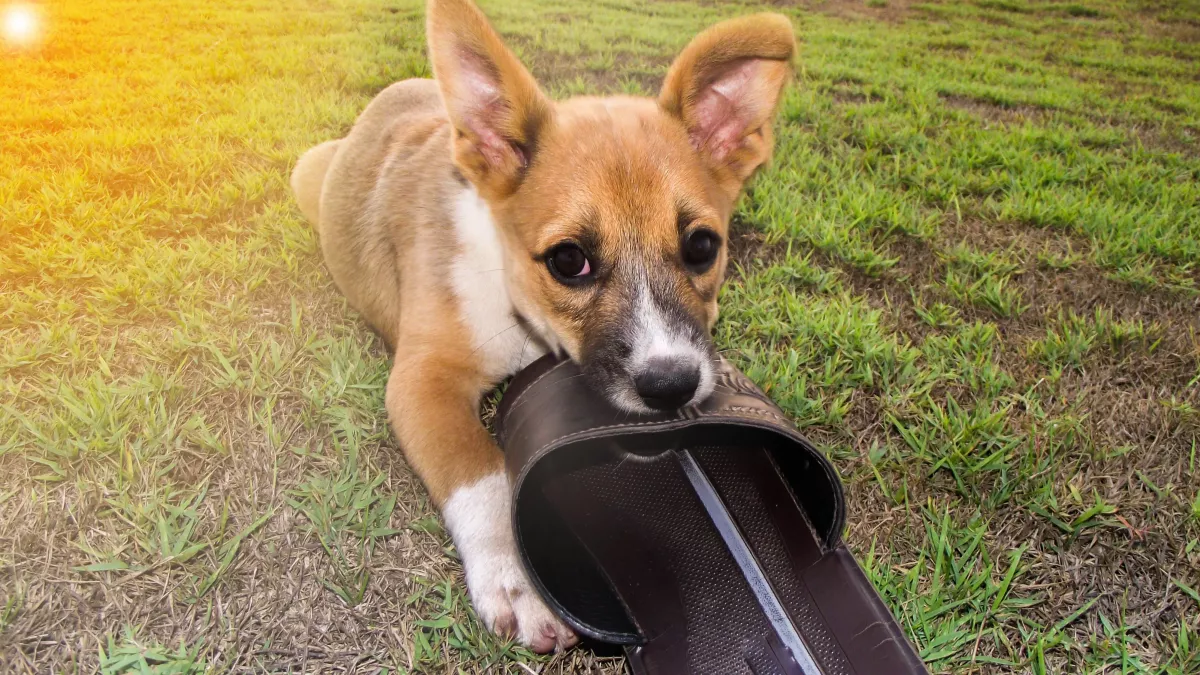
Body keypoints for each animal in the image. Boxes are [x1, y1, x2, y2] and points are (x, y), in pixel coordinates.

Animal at [291, 0, 796, 653]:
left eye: (702, 246)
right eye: (568, 259)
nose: (671, 386)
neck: (515, 302)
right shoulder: (423, 379)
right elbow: (481, 477)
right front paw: (516, 581)